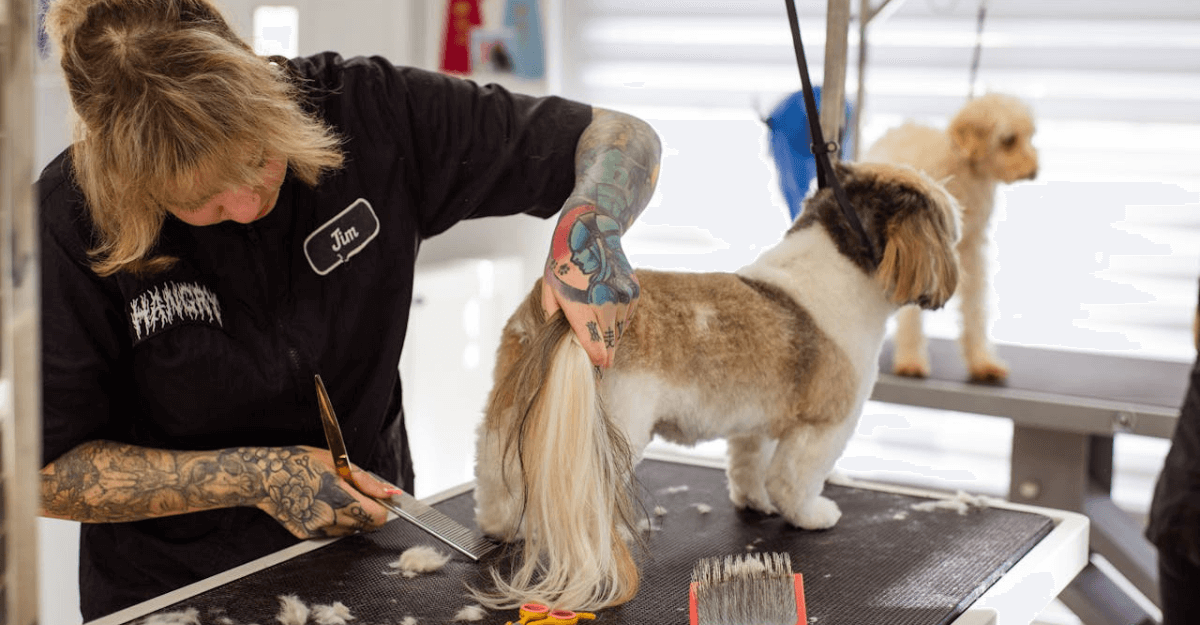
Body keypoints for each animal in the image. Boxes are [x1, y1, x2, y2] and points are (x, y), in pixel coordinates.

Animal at [472, 159, 960, 609]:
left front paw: (755, 500)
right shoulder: (823, 424)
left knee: (496, 466)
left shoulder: (758, 420)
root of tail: (567, 319)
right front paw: (811, 515)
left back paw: (502, 524)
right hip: (609, 426)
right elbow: (794, 480)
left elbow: (750, 466)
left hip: (514, 404)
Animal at [864, 92, 1041, 379]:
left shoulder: (973, 251)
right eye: (1008, 139)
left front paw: (982, 361)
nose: (1034, 170)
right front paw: (911, 359)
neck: (961, 169)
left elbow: (975, 308)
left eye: (1030, 135)